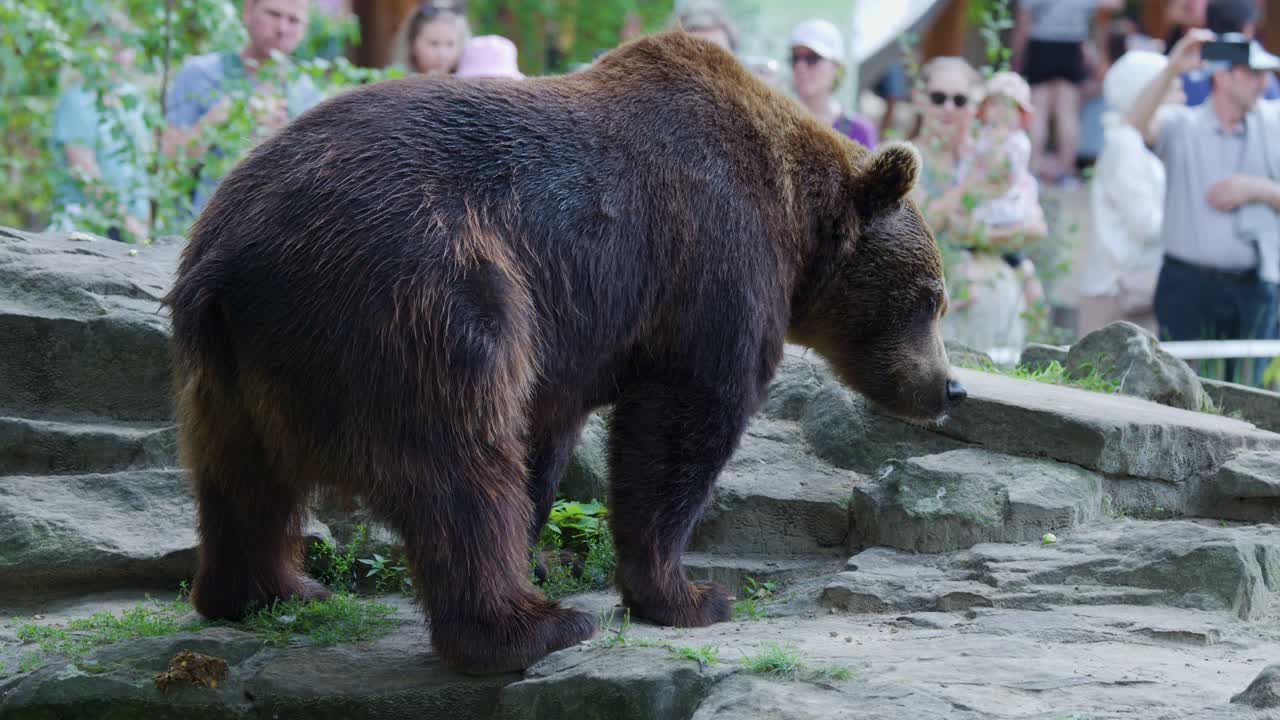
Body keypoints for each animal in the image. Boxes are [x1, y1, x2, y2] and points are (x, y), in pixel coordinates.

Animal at [164, 30, 966, 675]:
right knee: (455, 458)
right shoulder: (710, 257)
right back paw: (527, 630)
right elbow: (683, 421)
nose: (950, 388)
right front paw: (690, 594)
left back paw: (265, 589)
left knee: (239, 474)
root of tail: (228, 259)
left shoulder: (576, 337)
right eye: (931, 297)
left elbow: (547, 443)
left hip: (229, 365)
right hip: (413, 289)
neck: (795, 227)